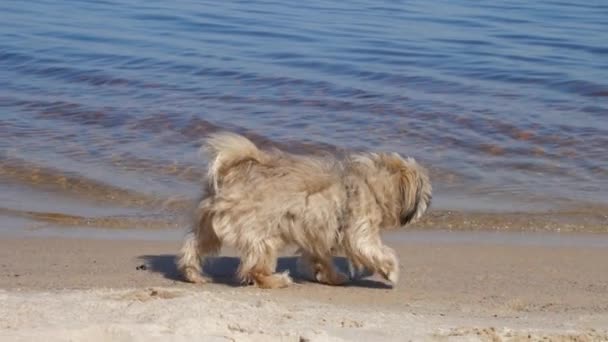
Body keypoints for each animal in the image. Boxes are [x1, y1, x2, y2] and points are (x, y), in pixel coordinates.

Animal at [176, 132, 432, 288]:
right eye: (425, 190)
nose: (430, 201)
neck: (369, 183)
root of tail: (230, 173)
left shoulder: (317, 235)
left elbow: (321, 258)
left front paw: (331, 277)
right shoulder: (359, 232)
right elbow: (377, 251)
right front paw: (392, 271)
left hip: (209, 225)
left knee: (193, 247)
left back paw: (193, 274)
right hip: (264, 237)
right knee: (254, 270)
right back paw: (277, 281)